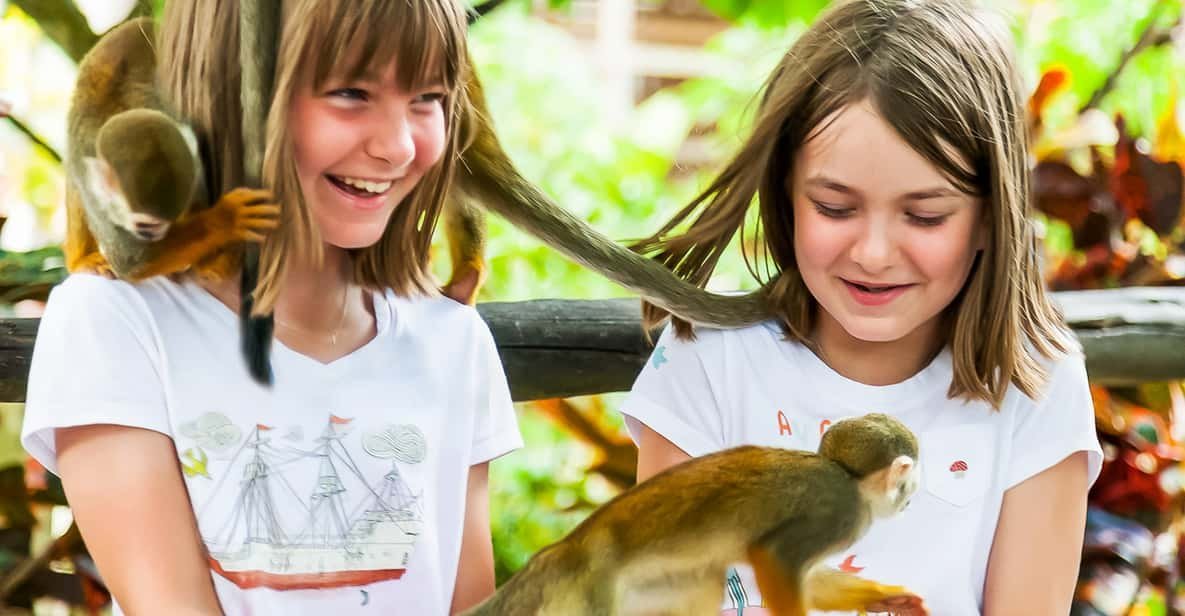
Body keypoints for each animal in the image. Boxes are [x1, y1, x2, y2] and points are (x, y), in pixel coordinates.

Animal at [64, 17, 280, 283]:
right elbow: (132, 262)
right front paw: (227, 218)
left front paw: (213, 258)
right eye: (145, 226)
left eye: (165, 222)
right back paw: (79, 259)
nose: (156, 237)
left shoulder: (193, 160)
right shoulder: (94, 194)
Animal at [461, 413, 927, 616]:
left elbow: (810, 581)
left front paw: (889, 596)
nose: (911, 499)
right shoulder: (841, 513)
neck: (852, 480)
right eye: (910, 483)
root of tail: (564, 550)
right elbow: (776, 556)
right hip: (585, 595)